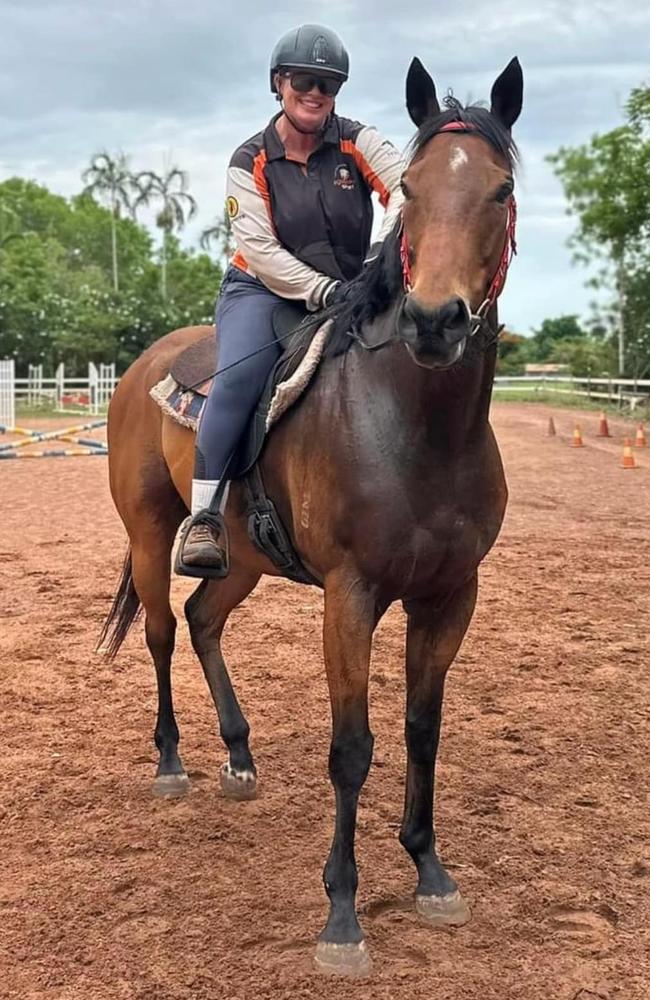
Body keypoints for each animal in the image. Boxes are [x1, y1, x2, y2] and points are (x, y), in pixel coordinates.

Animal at [102, 56, 528, 976]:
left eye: (502, 189)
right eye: (412, 188)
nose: (434, 320)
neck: (416, 427)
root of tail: (143, 363)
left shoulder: (452, 596)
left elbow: (421, 729)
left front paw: (430, 869)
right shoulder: (350, 594)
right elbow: (352, 749)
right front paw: (342, 914)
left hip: (245, 559)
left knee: (203, 618)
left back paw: (238, 754)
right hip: (151, 536)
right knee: (161, 630)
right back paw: (173, 761)